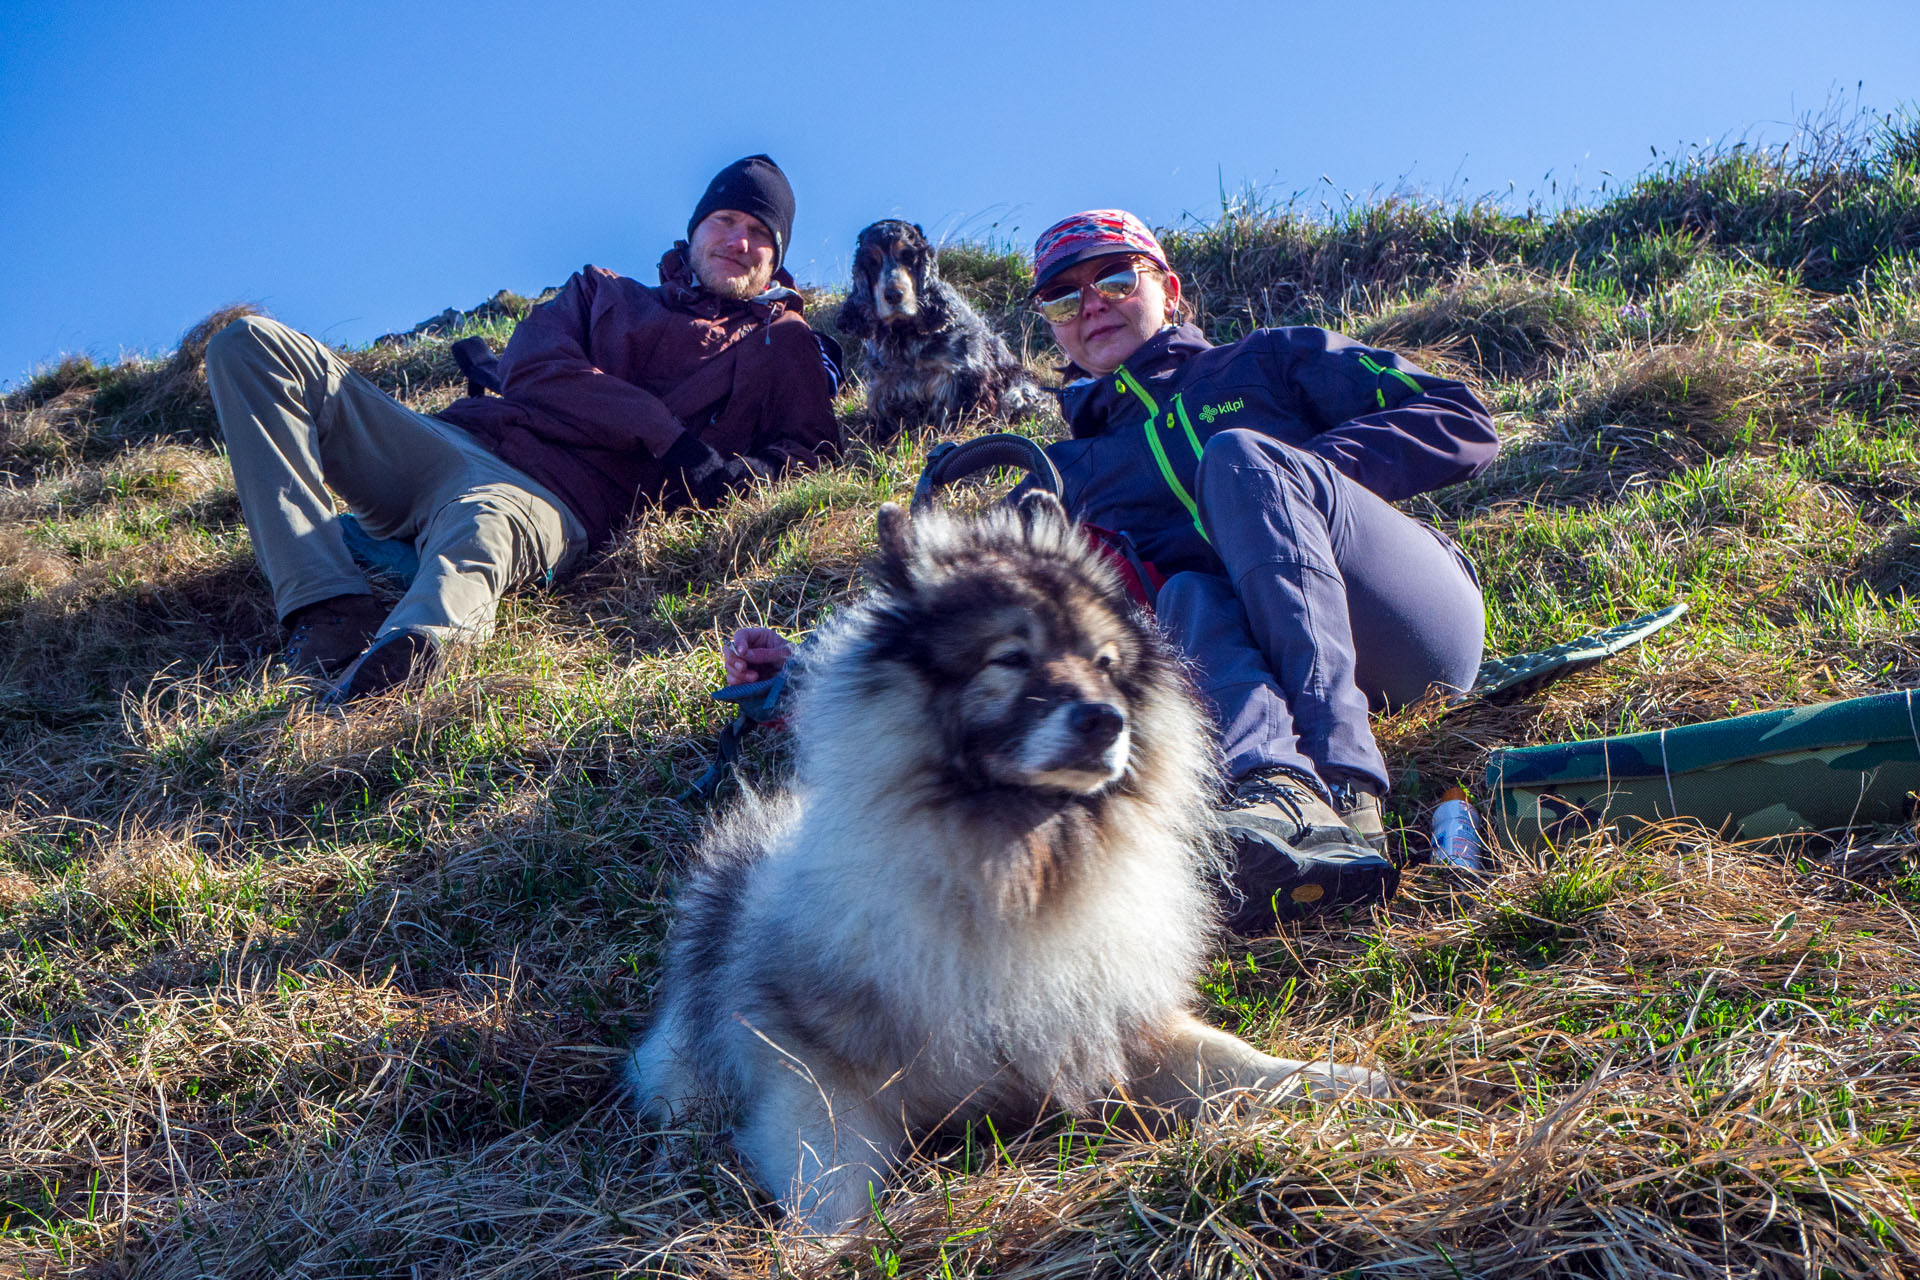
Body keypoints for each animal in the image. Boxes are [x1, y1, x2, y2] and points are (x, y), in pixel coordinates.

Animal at [629, 495, 1397, 1235]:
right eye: (1010, 659)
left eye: (1105, 663)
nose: (1104, 720)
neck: (1014, 866)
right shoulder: (812, 1065)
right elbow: (832, 1176)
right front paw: (833, 1247)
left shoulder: (1116, 1027)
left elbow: (1234, 1060)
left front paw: (1338, 1083)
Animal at [840, 220, 1052, 441]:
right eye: (872, 262)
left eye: (908, 256)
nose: (893, 295)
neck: (904, 334)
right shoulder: (885, 387)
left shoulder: (962, 377)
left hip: (1020, 390)